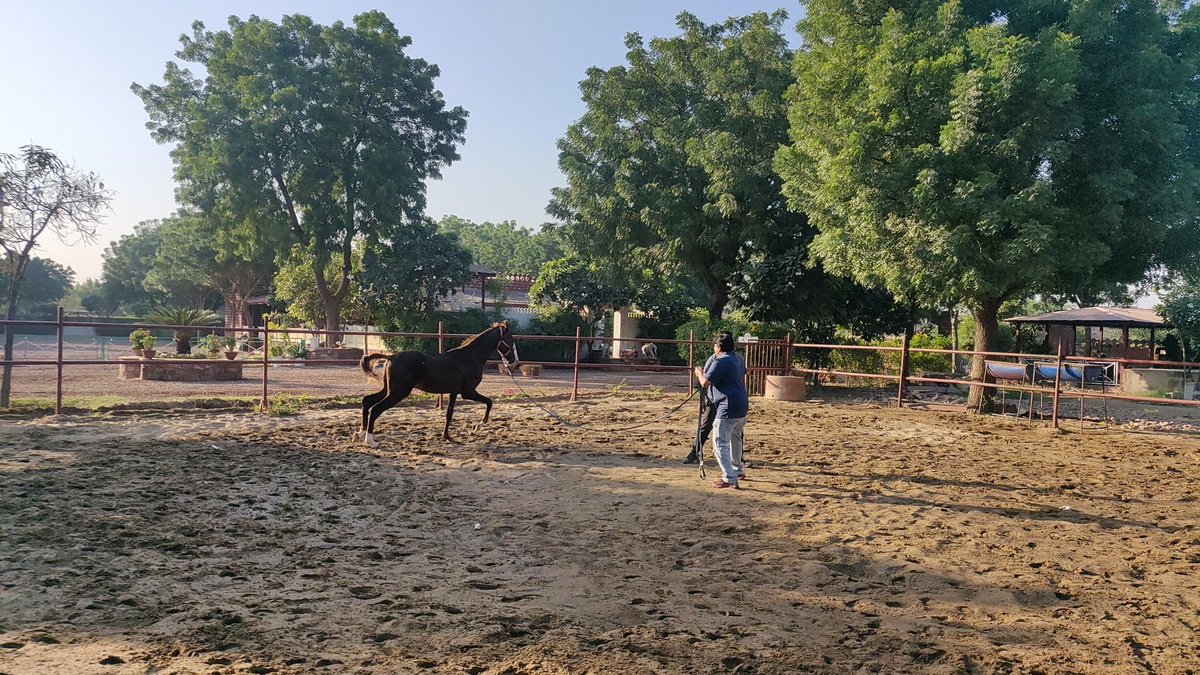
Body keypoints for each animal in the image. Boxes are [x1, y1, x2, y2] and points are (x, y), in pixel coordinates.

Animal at [355, 321, 519, 447]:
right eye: (510, 340)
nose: (514, 362)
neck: (470, 357)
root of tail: (391, 357)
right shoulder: (468, 392)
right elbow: (489, 402)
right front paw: (478, 426)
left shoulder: (454, 392)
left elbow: (449, 414)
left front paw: (446, 436)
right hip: (398, 392)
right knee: (376, 409)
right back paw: (371, 441)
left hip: (388, 390)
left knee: (367, 401)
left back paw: (361, 433)